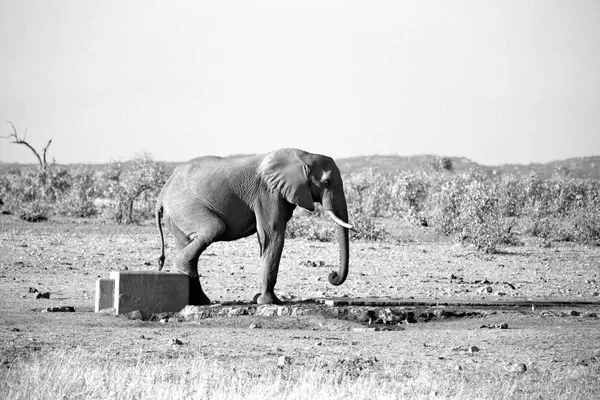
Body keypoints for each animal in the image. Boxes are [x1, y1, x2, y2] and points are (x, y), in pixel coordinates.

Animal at [155, 148, 352, 304]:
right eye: (326, 183)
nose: (332, 275)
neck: (303, 155)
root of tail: (163, 192)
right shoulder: (267, 193)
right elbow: (272, 236)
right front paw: (270, 302)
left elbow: (267, 239)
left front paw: (260, 299)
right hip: (185, 206)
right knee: (214, 228)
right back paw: (184, 271)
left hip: (177, 215)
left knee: (185, 241)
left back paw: (200, 301)